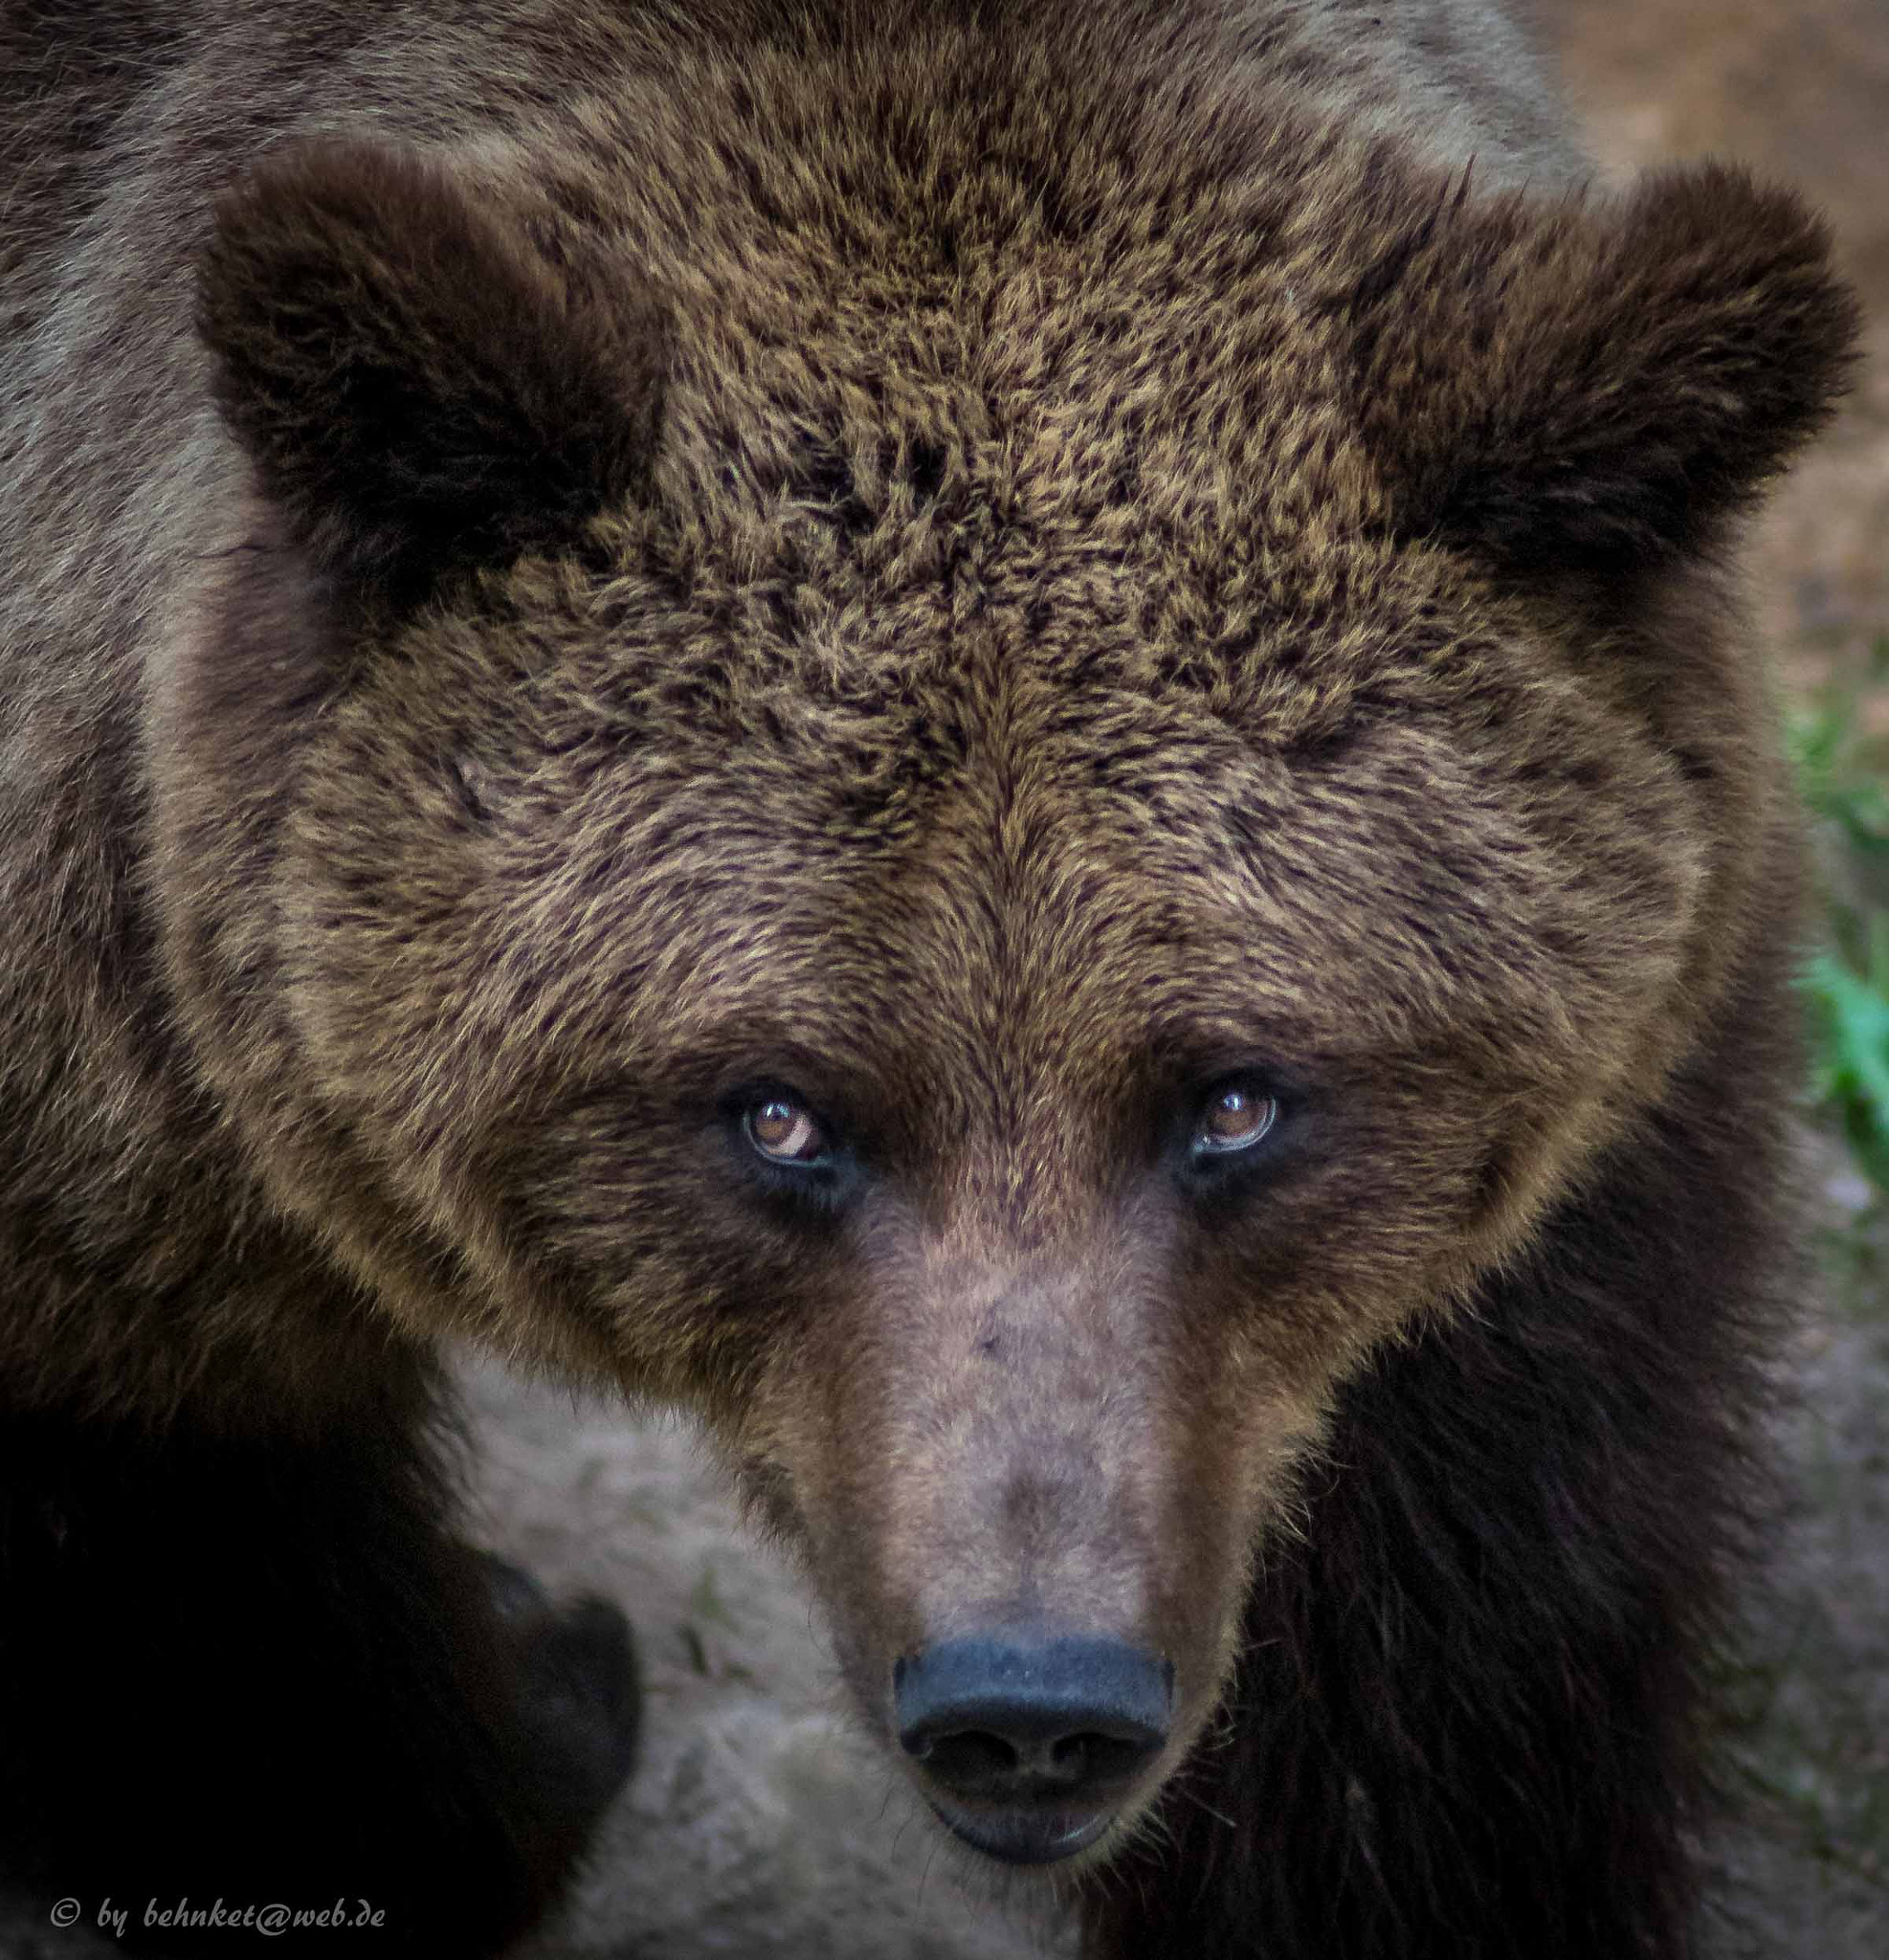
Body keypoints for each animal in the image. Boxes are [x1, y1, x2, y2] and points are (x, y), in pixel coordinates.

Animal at [0, 0, 1859, 1954]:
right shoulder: (122, 1116)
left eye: (1237, 1098)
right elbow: (206, 1573)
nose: (1029, 1706)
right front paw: (547, 1690)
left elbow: (1446, 1638)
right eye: (776, 1111)